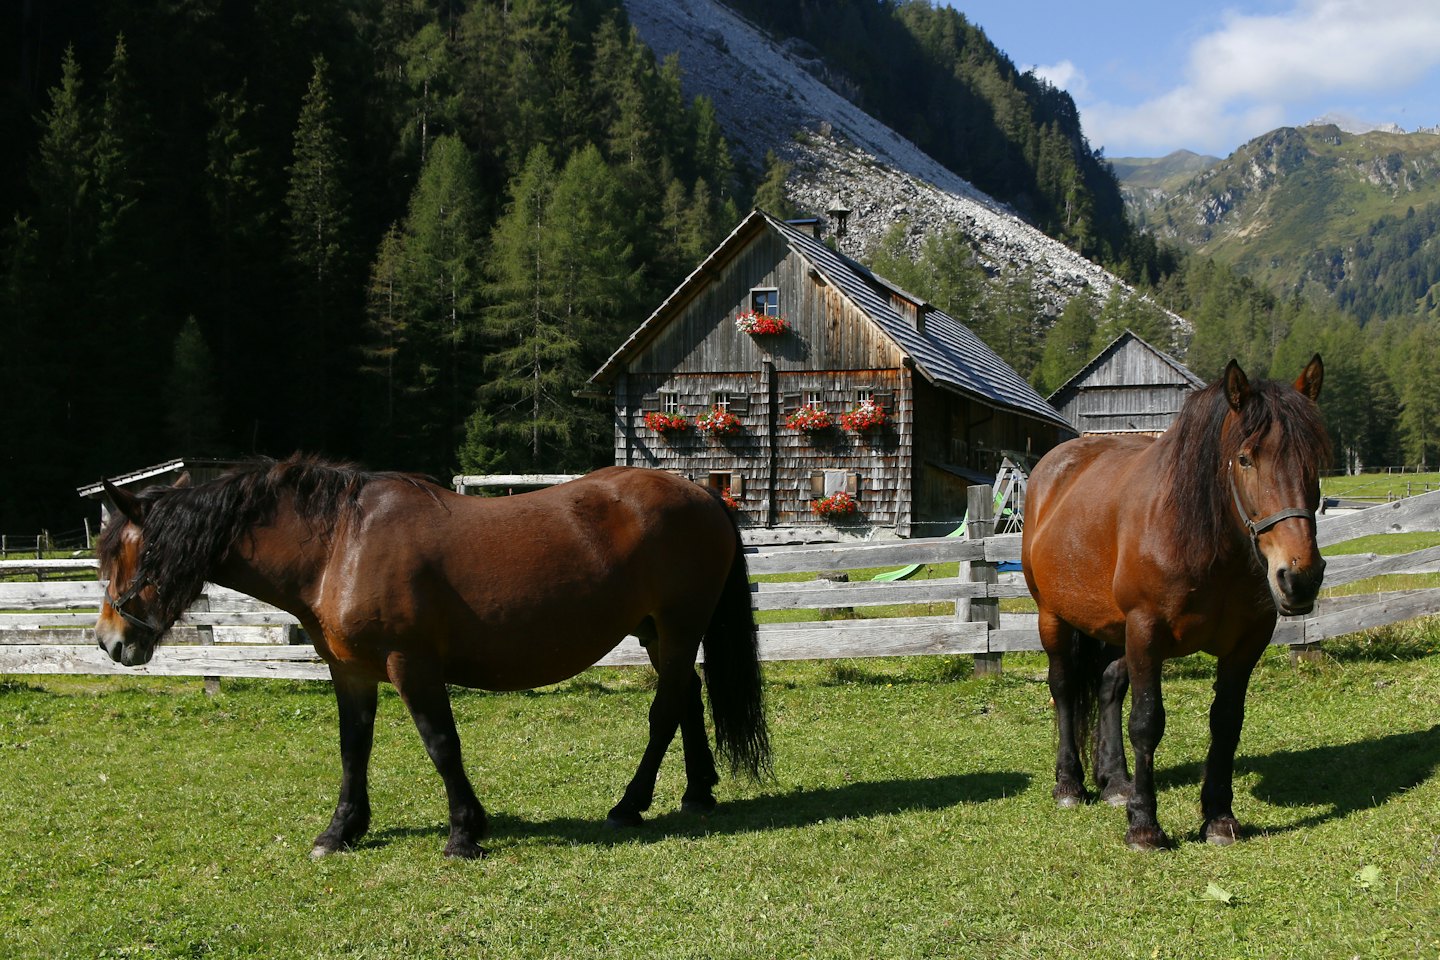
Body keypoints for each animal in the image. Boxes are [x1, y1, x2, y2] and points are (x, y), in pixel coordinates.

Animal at [94, 456, 769, 859]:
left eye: (128, 555)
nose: (110, 642)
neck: (340, 544)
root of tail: (702, 494)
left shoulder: (410, 665)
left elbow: (441, 743)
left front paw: (465, 832)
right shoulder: (351, 671)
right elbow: (353, 748)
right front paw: (341, 830)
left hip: (677, 629)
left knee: (664, 713)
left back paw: (629, 806)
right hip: (660, 634)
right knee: (686, 701)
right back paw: (698, 793)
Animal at [1020, 356, 1328, 850]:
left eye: (1314, 461)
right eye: (1246, 458)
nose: (1299, 578)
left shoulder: (1246, 643)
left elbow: (1226, 722)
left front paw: (1218, 817)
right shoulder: (1147, 631)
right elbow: (1147, 722)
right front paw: (1144, 825)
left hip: (1114, 629)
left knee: (1108, 688)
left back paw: (1114, 782)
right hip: (1054, 618)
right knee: (1064, 687)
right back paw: (1069, 784)